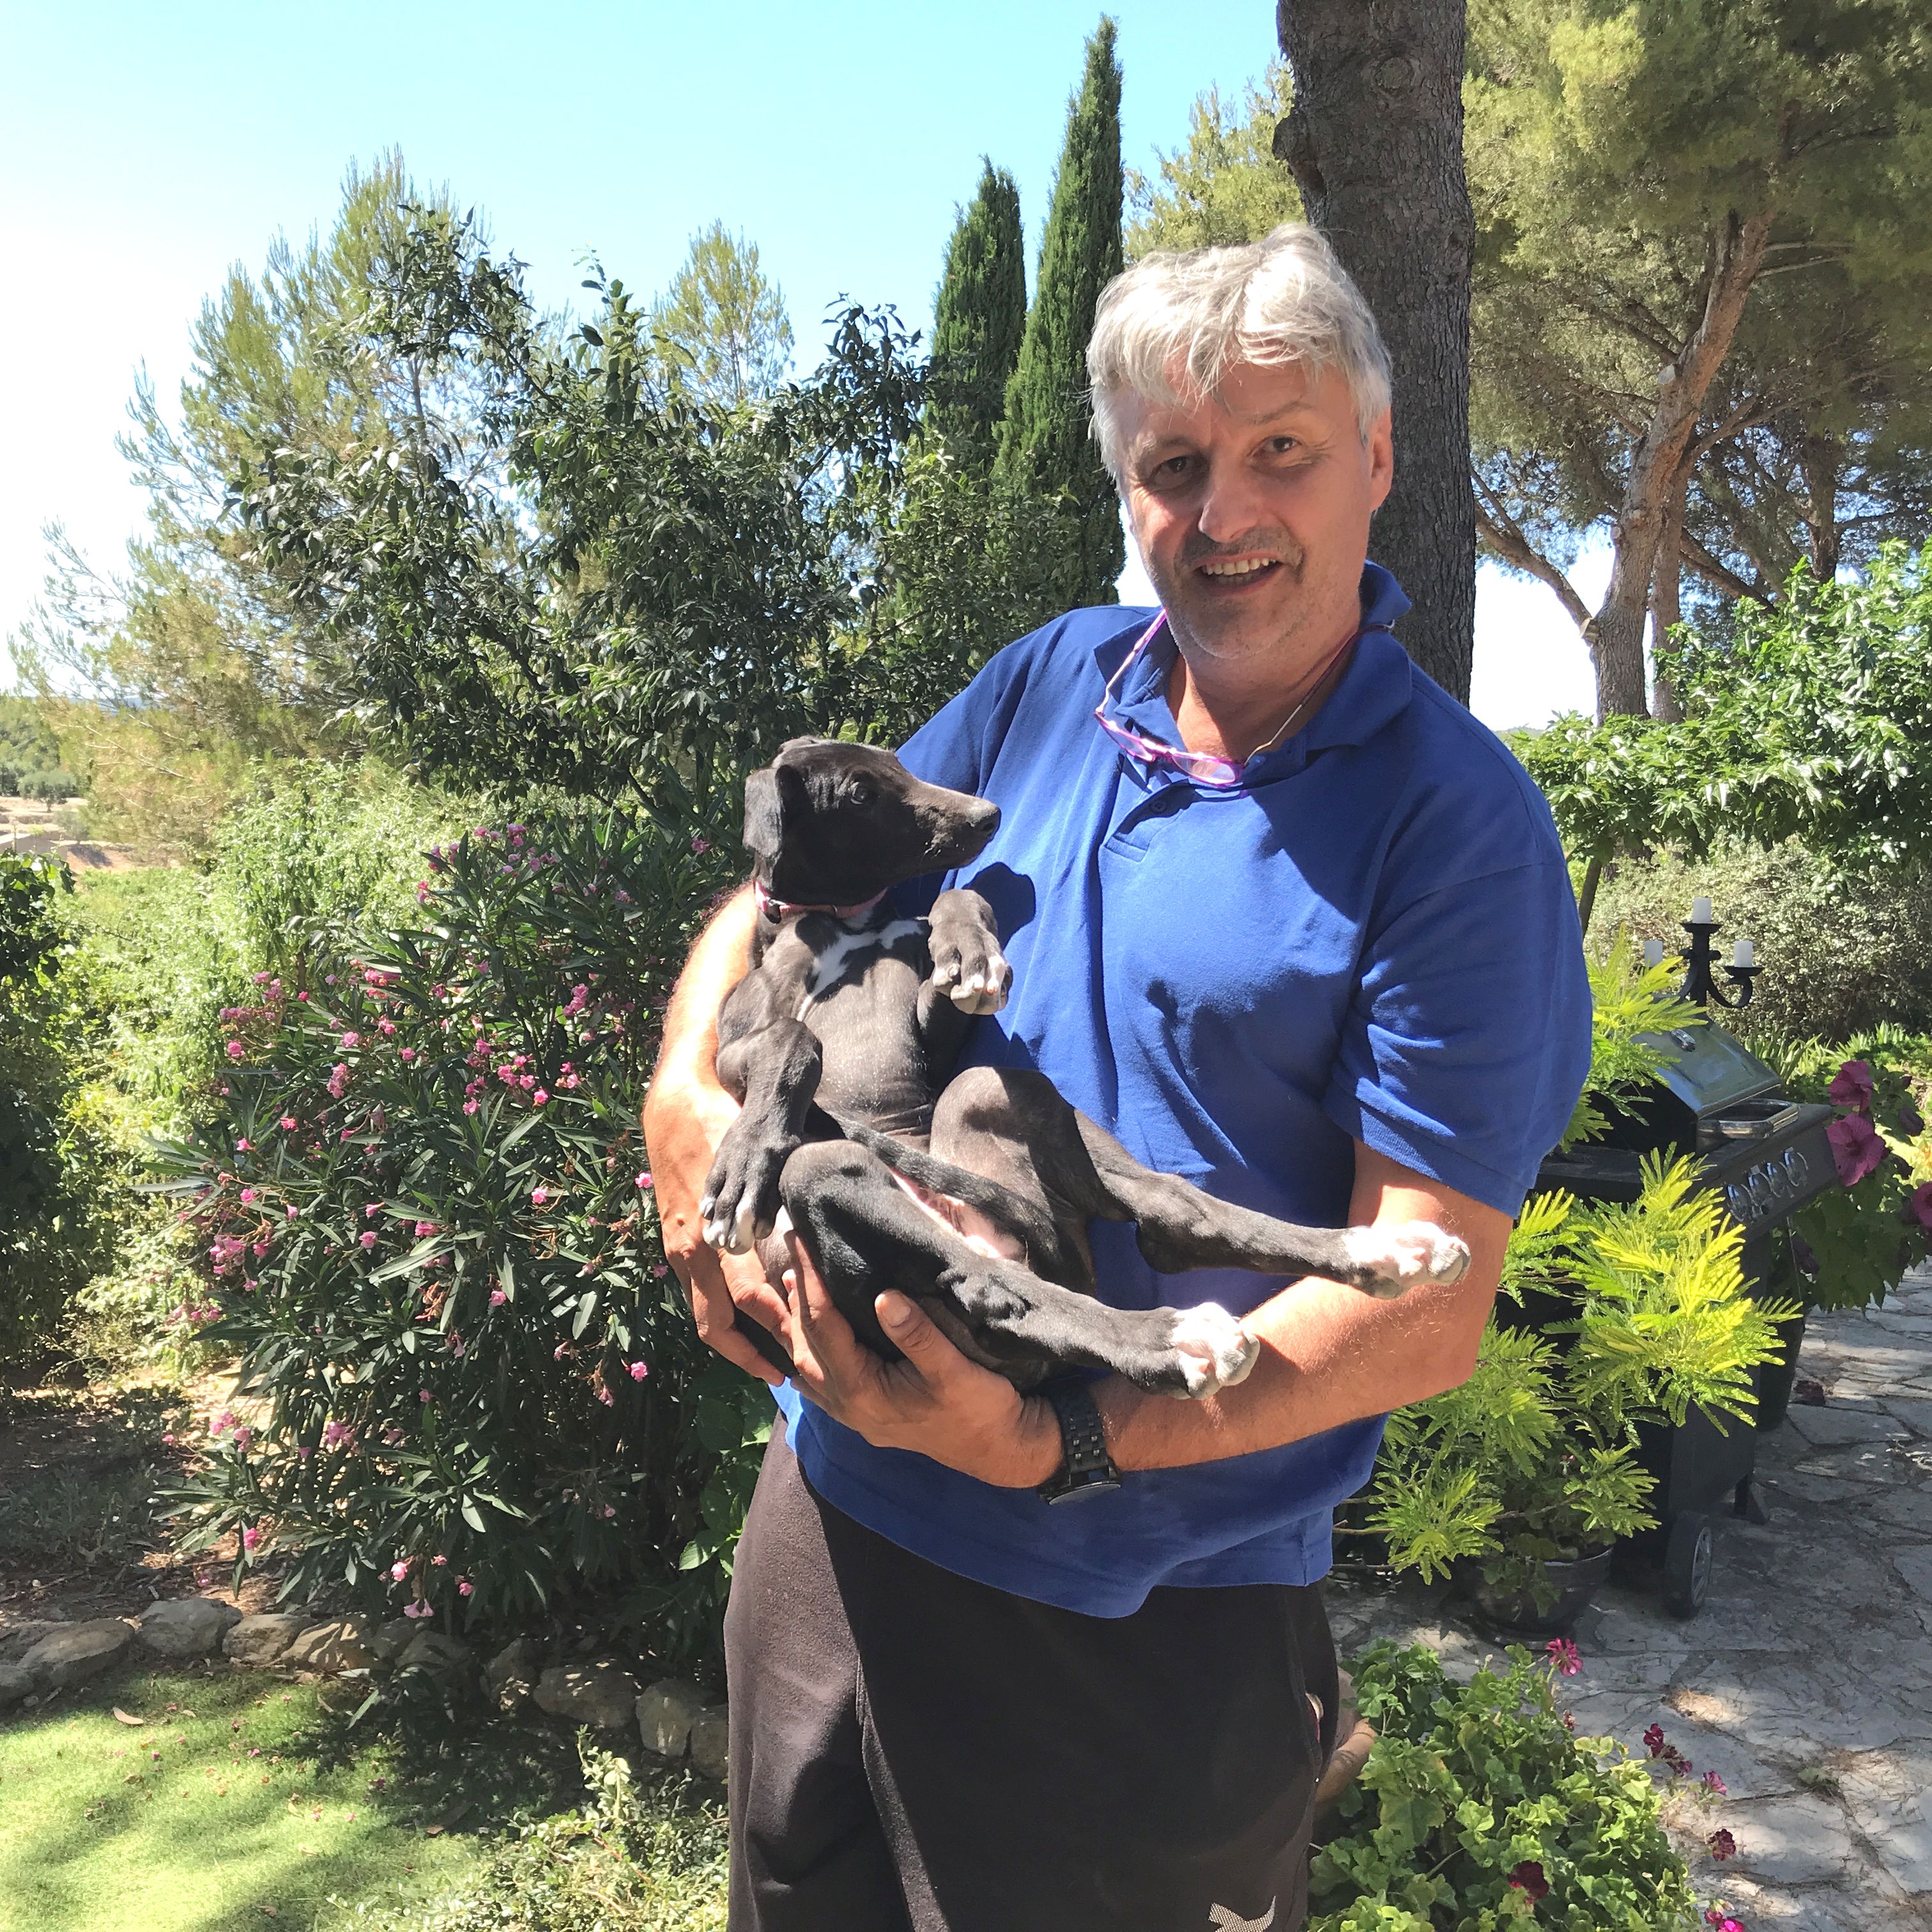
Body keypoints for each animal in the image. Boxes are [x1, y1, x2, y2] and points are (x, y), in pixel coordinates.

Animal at [700, 737, 1471, 1398]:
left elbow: (953, 912)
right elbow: (791, 1037)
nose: (987, 815)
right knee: (1000, 1289)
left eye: (896, 762)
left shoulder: (932, 1023)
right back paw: (1172, 1339)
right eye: (861, 793)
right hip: (832, 1176)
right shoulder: (736, 1047)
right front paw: (744, 1163)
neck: (846, 924)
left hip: (983, 1102)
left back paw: (1377, 1251)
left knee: (1169, 1217)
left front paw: (970, 948)